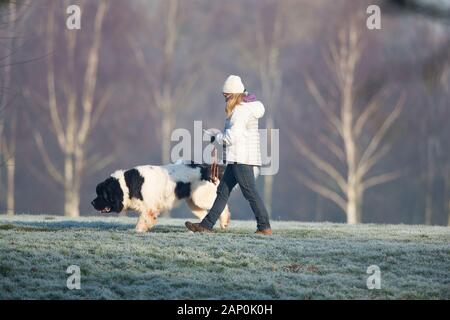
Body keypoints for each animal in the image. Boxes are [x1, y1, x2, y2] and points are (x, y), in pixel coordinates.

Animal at [92, 162, 230, 232]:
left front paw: (138, 230)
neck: (126, 185)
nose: (92, 203)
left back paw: (224, 224)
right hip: (193, 203)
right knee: (205, 213)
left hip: (201, 198)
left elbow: (142, 220)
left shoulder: (149, 207)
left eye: (101, 194)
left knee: (222, 207)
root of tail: (207, 168)